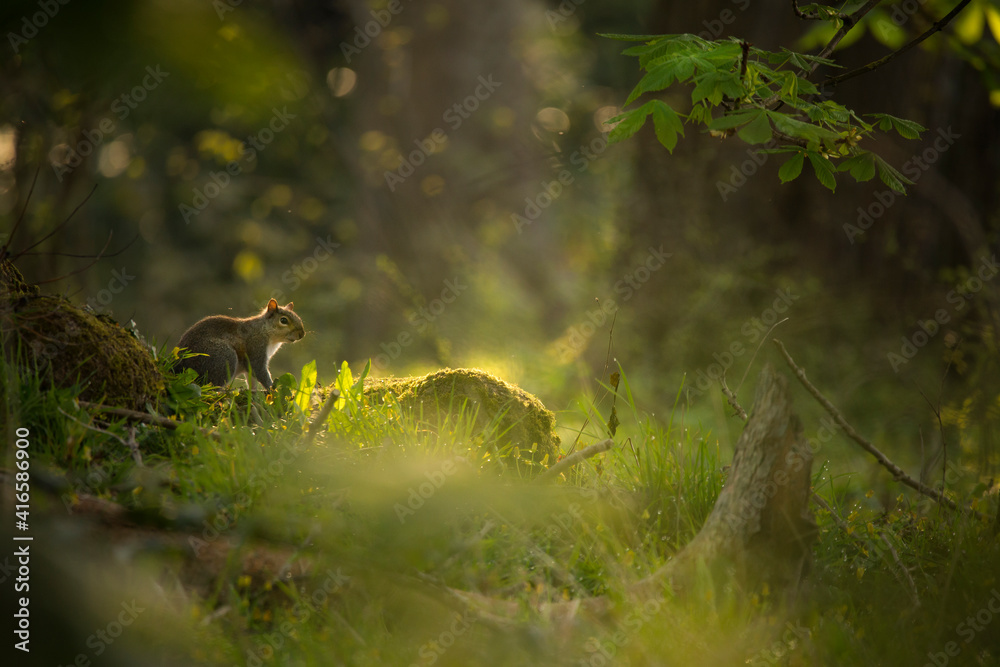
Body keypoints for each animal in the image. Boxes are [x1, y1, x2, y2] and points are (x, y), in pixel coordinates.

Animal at [174, 298, 304, 392]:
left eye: (299, 318)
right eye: (283, 320)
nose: (302, 334)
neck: (265, 331)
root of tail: (179, 367)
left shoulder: (249, 366)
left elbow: (251, 379)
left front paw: (253, 392)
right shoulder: (256, 350)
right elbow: (260, 372)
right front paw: (273, 390)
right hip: (224, 357)